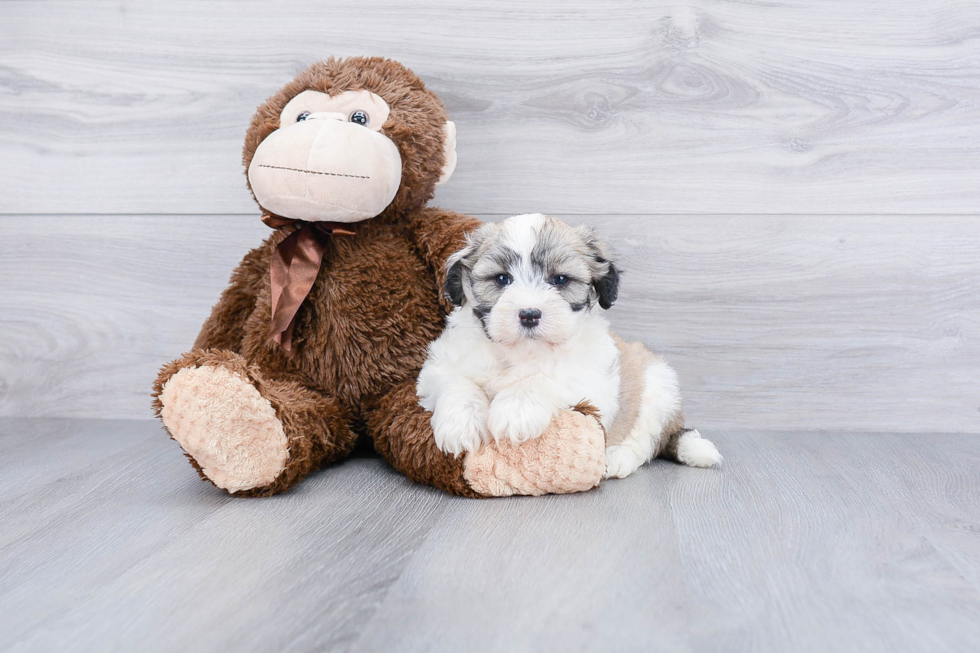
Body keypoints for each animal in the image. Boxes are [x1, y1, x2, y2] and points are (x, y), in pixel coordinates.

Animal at [414, 214, 720, 478]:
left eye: (560, 279)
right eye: (502, 279)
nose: (529, 314)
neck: (523, 352)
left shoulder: (592, 383)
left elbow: (546, 379)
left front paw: (516, 408)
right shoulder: (438, 366)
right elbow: (457, 382)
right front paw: (461, 423)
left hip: (659, 388)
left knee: (648, 441)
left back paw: (617, 458)